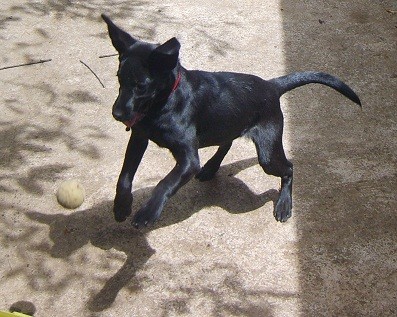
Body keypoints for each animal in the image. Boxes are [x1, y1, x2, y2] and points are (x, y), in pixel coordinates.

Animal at [101, 14, 358, 227]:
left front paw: (148, 212)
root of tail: (271, 86)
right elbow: (124, 177)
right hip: (227, 125)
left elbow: (165, 183)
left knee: (288, 168)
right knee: (227, 141)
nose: (117, 114)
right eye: (119, 78)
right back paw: (212, 167)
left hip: (267, 152)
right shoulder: (138, 137)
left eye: (141, 86)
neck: (163, 104)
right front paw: (121, 206)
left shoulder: (188, 159)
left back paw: (284, 203)